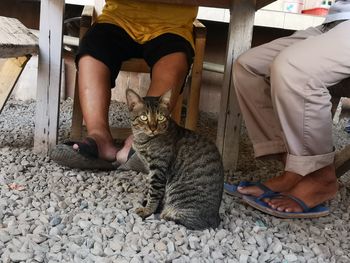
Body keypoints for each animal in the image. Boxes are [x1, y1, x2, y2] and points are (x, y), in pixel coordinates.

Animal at [126, 89, 224, 231]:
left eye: (160, 117)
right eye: (144, 117)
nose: (153, 128)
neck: (143, 140)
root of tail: (216, 219)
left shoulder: (158, 169)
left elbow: (154, 193)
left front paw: (148, 210)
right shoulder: (152, 170)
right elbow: (157, 192)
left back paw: (166, 214)